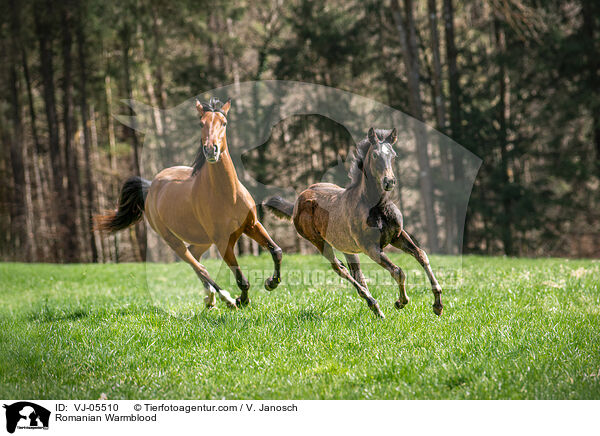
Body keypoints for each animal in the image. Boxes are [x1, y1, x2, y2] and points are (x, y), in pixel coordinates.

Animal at [95, 98, 282, 310]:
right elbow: (241, 278)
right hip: (172, 240)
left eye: (224, 123)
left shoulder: (252, 225)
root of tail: (151, 186)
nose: (211, 150)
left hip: (202, 240)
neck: (228, 195)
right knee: (199, 267)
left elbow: (276, 251)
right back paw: (225, 298)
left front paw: (271, 282)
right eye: (201, 123)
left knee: (196, 259)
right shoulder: (222, 242)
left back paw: (210, 299)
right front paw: (242, 300)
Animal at [264, 127, 442, 318]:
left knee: (356, 273)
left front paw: (438, 304)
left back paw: (375, 308)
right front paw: (401, 302)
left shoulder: (398, 235)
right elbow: (398, 271)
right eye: (375, 155)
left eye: (393, 155)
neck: (377, 206)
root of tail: (298, 201)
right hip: (319, 242)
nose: (389, 182)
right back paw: (373, 303)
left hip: (346, 246)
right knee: (339, 268)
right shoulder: (370, 247)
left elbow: (421, 255)